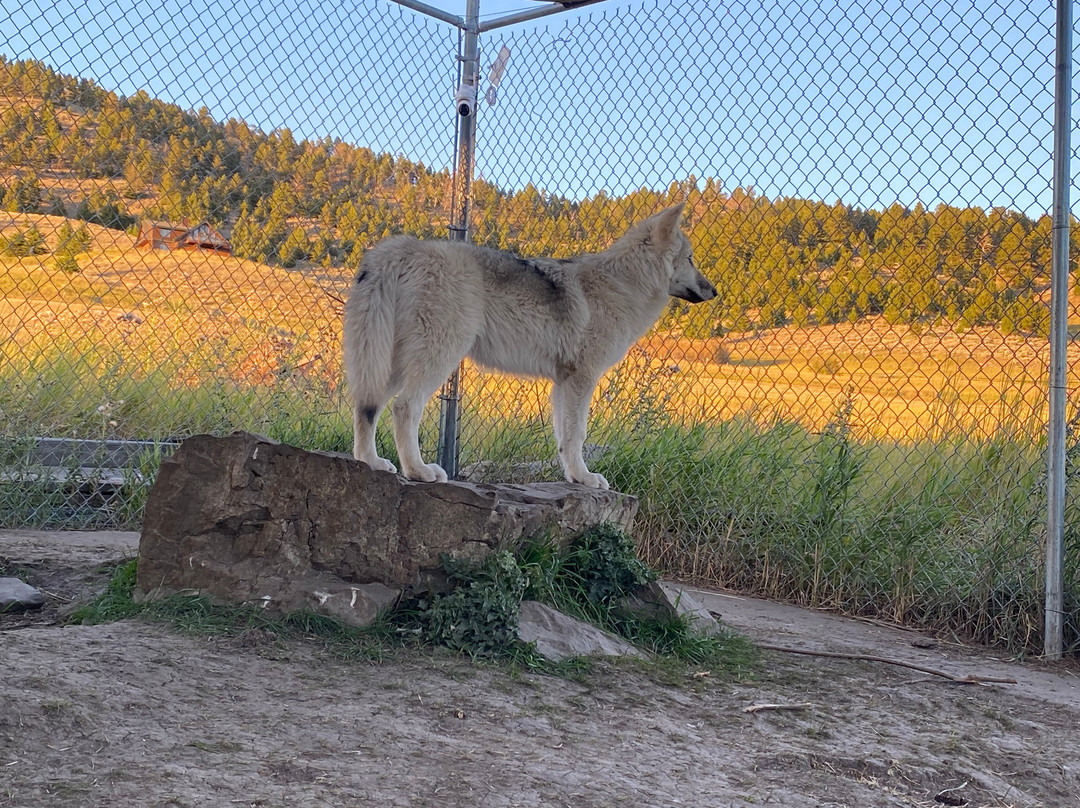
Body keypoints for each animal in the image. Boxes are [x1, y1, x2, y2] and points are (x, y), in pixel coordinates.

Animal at [342, 202, 717, 489]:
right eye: (691, 259)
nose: (714, 291)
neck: (624, 285)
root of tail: (405, 247)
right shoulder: (583, 378)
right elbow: (578, 434)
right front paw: (587, 478)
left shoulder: (564, 383)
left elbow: (565, 440)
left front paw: (574, 478)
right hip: (437, 359)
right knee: (404, 408)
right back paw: (419, 471)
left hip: (389, 366)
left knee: (365, 408)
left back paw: (372, 462)